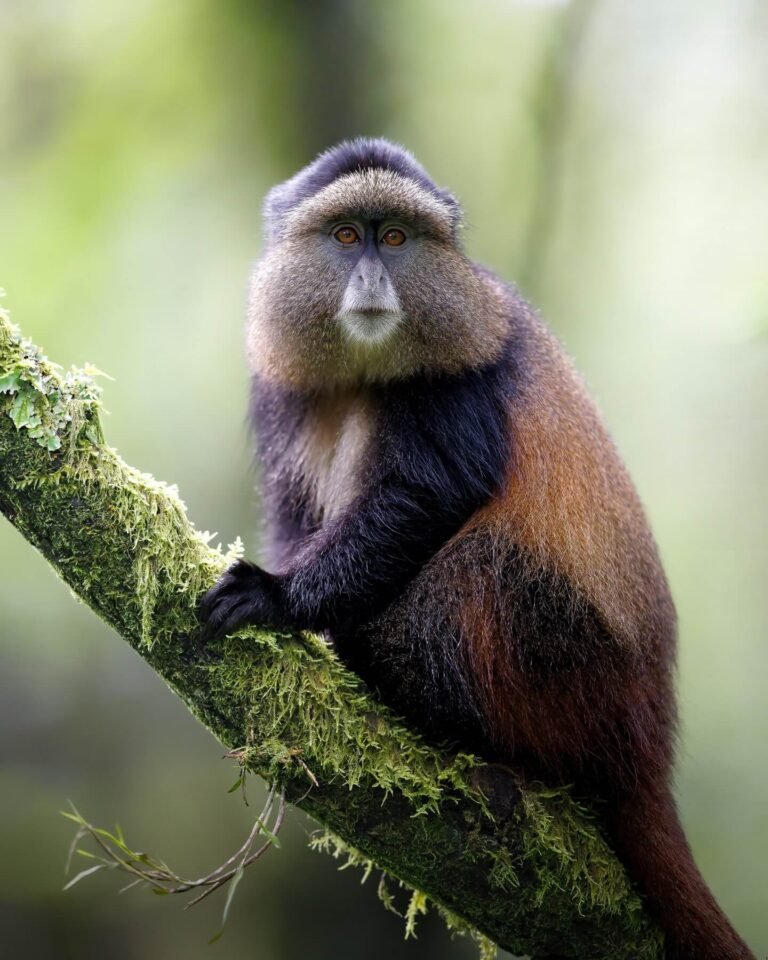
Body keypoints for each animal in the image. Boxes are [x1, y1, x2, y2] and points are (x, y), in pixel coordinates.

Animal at [199, 138, 754, 960]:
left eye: (396, 238)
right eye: (346, 237)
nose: (372, 276)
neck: (363, 375)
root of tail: (646, 746)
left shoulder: (455, 381)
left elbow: (427, 496)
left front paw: (276, 597)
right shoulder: (280, 395)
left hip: (561, 660)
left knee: (477, 571)